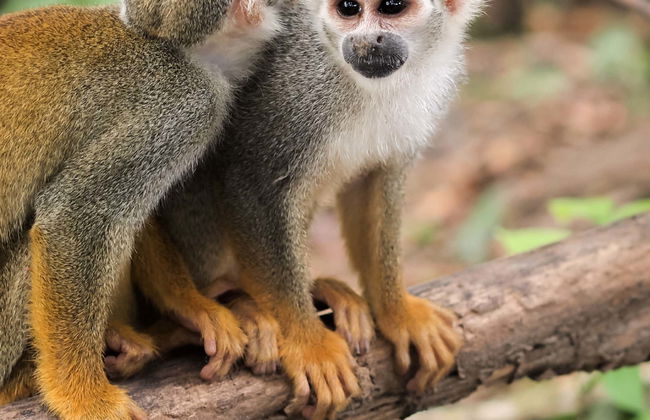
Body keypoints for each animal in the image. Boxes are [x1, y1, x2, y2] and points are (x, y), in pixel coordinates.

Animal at [134, 0, 481, 418]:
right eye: (348, 9)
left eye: (392, 8)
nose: (365, 40)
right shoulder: (295, 86)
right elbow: (251, 183)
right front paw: (308, 342)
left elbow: (377, 181)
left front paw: (397, 311)